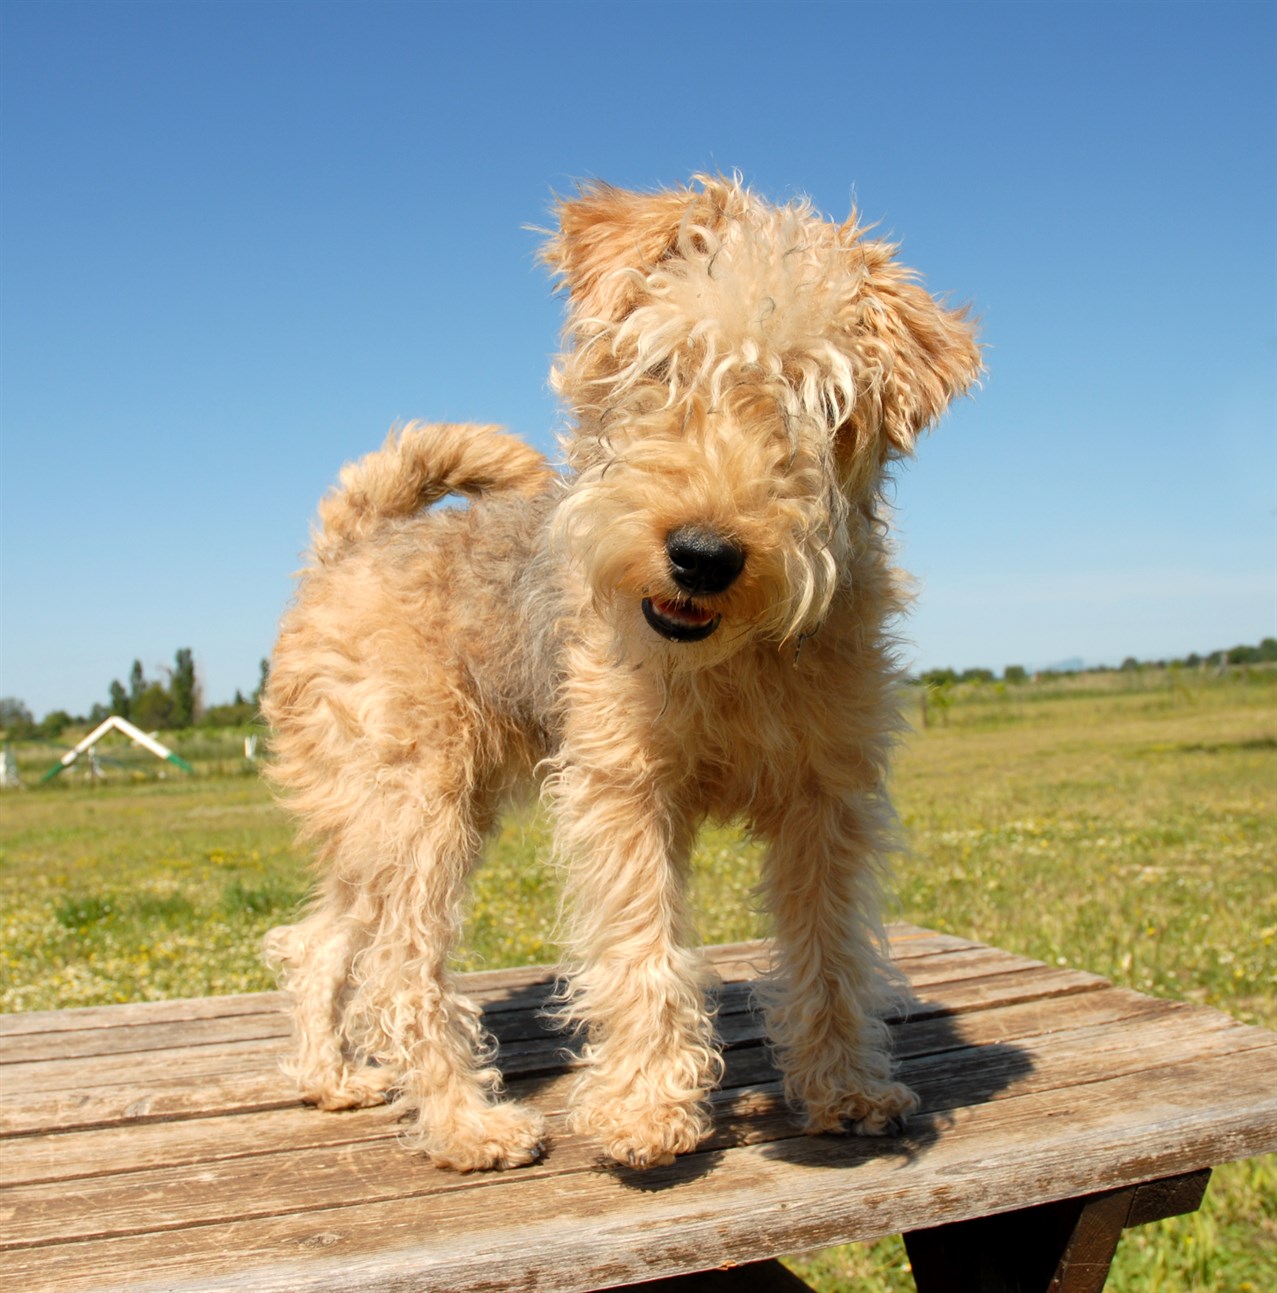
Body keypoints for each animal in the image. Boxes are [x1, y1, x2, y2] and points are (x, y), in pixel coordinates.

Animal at [259, 177, 977, 1179]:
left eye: (819, 403)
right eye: (664, 367)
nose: (703, 555)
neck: (729, 660)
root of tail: (349, 547)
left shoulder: (825, 798)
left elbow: (830, 953)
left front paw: (846, 1090)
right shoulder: (623, 787)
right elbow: (645, 951)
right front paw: (645, 1112)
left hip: (392, 818)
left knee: (321, 942)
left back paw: (332, 1078)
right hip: (414, 806)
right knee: (399, 970)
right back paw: (468, 1125)